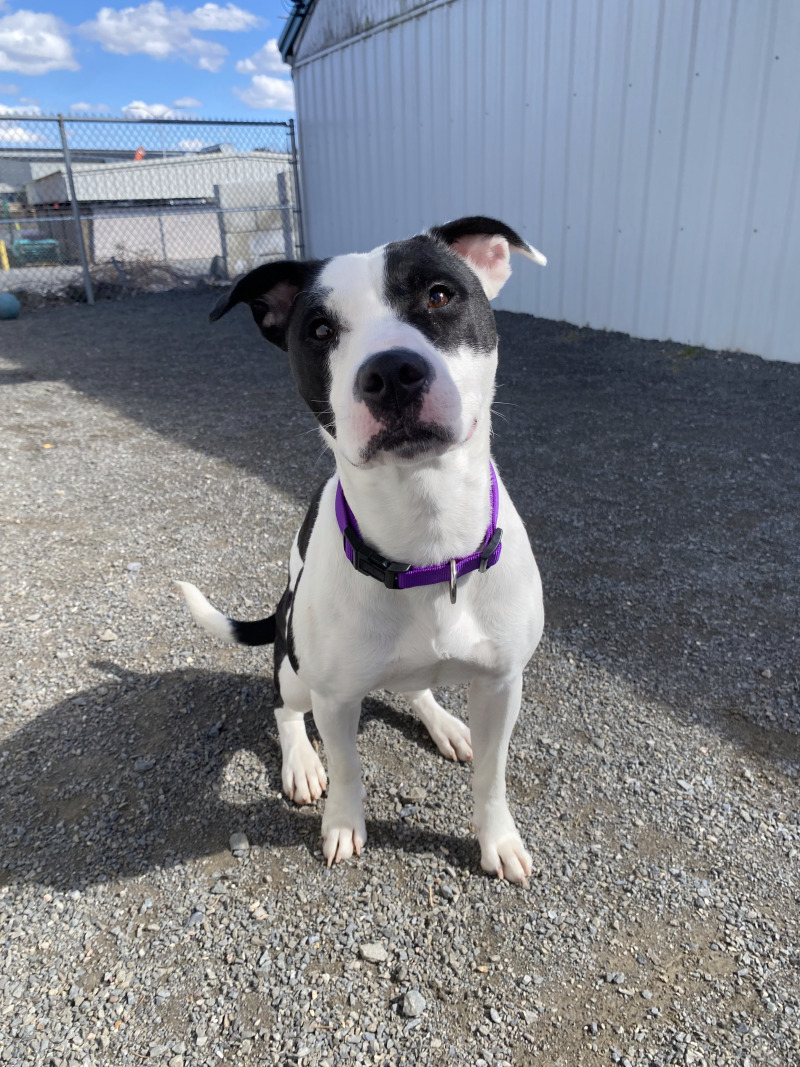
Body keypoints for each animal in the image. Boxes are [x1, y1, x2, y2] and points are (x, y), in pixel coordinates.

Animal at [178, 216, 550, 883]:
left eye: (439, 295)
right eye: (320, 330)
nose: (393, 371)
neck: (427, 542)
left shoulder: (503, 684)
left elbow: (492, 775)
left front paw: (498, 839)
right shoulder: (334, 698)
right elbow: (349, 768)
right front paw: (344, 826)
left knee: (417, 686)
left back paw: (444, 724)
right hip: (294, 663)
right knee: (283, 706)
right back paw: (301, 762)